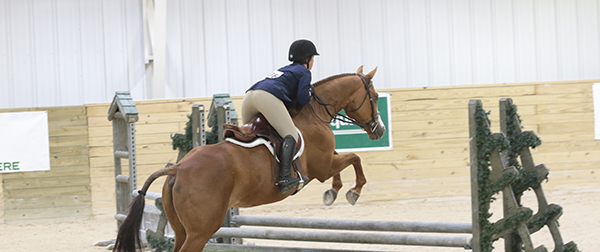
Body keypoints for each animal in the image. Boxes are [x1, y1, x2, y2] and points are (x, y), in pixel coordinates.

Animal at [112, 66, 384, 251]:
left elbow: (345, 161)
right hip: (200, 231)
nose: (379, 130)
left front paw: (333, 192)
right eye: (374, 97)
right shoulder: (322, 167)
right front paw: (351, 192)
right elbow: (354, 159)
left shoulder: (327, 160)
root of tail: (178, 168)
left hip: (181, 230)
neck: (314, 113)